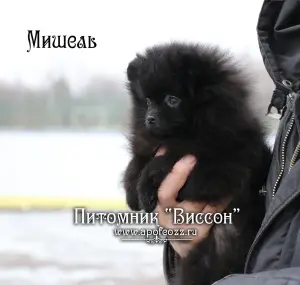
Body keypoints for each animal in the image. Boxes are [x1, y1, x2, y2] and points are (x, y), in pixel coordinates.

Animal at [122, 42, 272, 284]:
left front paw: (145, 186)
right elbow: (136, 163)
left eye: (172, 100)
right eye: (147, 101)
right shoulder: (147, 145)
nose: (150, 118)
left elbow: (163, 161)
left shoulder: (223, 168)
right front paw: (132, 194)